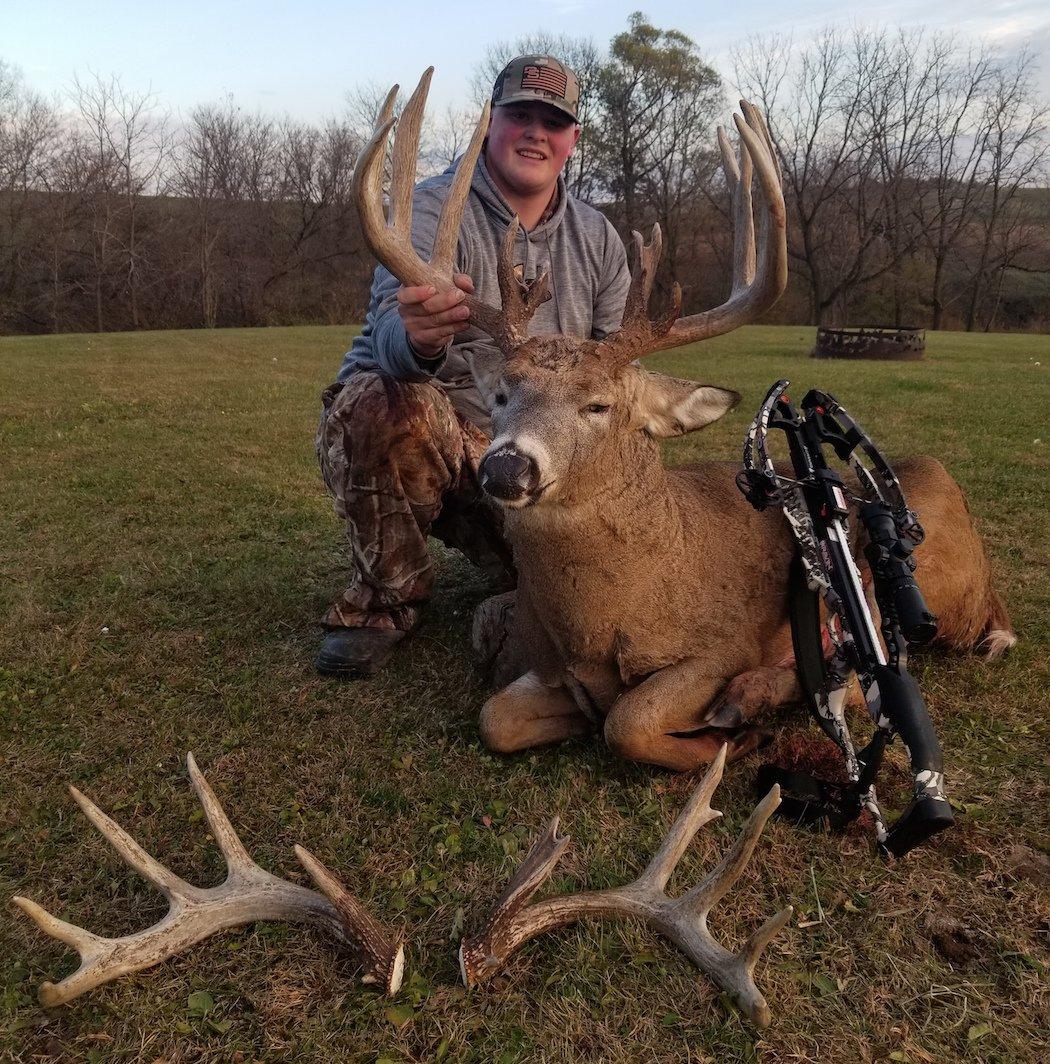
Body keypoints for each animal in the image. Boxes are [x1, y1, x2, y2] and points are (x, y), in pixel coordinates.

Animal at [352, 71, 1016, 774]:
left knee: (882, 674)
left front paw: (736, 733)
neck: (604, 621)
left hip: (919, 573)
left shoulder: (720, 644)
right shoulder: (553, 668)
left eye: (599, 405)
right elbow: (497, 716)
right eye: (503, 394)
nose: (506, 467)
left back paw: (757, 698)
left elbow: (629, 720)